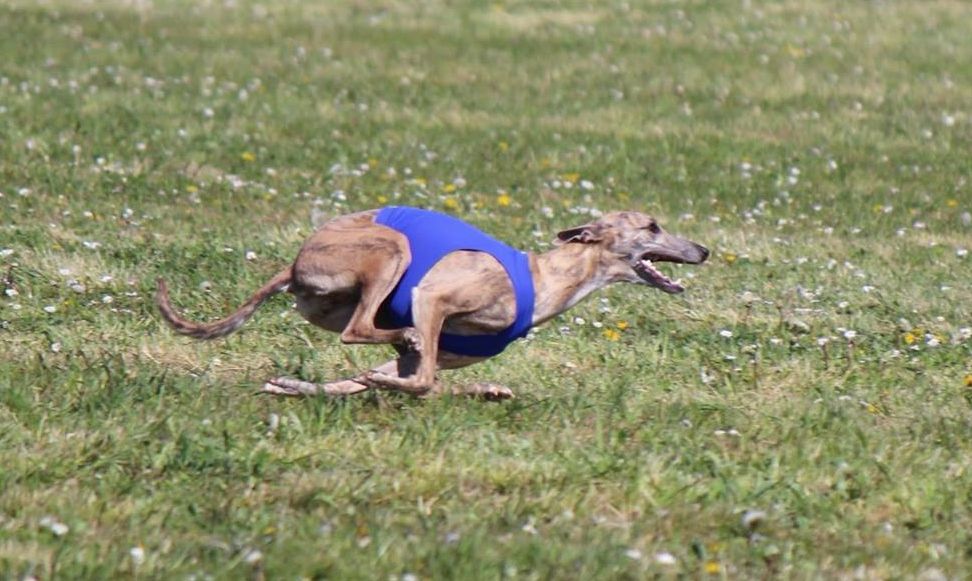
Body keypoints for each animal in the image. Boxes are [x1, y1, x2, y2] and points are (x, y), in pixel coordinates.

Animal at [156, 206, 708, 399]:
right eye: (653, 226)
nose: (703, 251)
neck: (543, 278)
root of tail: (294, 265)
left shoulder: (431, 348)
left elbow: (399, 378)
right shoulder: (432, 298)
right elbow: (421, 382)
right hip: (389, 250)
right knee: (360, 329)